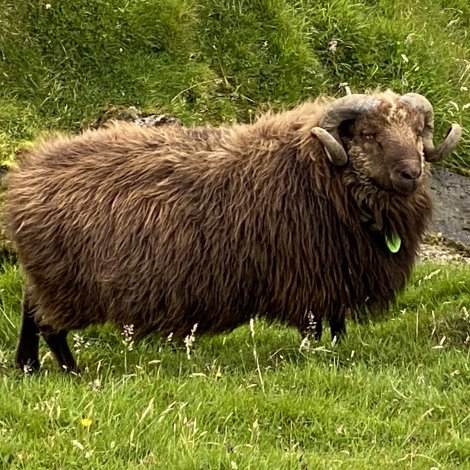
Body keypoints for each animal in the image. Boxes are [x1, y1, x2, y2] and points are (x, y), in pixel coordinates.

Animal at [6, 90, 462, 372]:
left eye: (417, 131)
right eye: (368, 134)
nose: (411, 173)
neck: (317, 170)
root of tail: (24, 177)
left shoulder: (335, 275)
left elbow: (337, 325)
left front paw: (338, 349)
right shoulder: (310, 277)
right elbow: (315, 327)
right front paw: (316, 355)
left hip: (47, 277)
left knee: (30, 311)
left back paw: (28, 366)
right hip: (66, 283)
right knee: (49, 327)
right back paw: (72, 371)